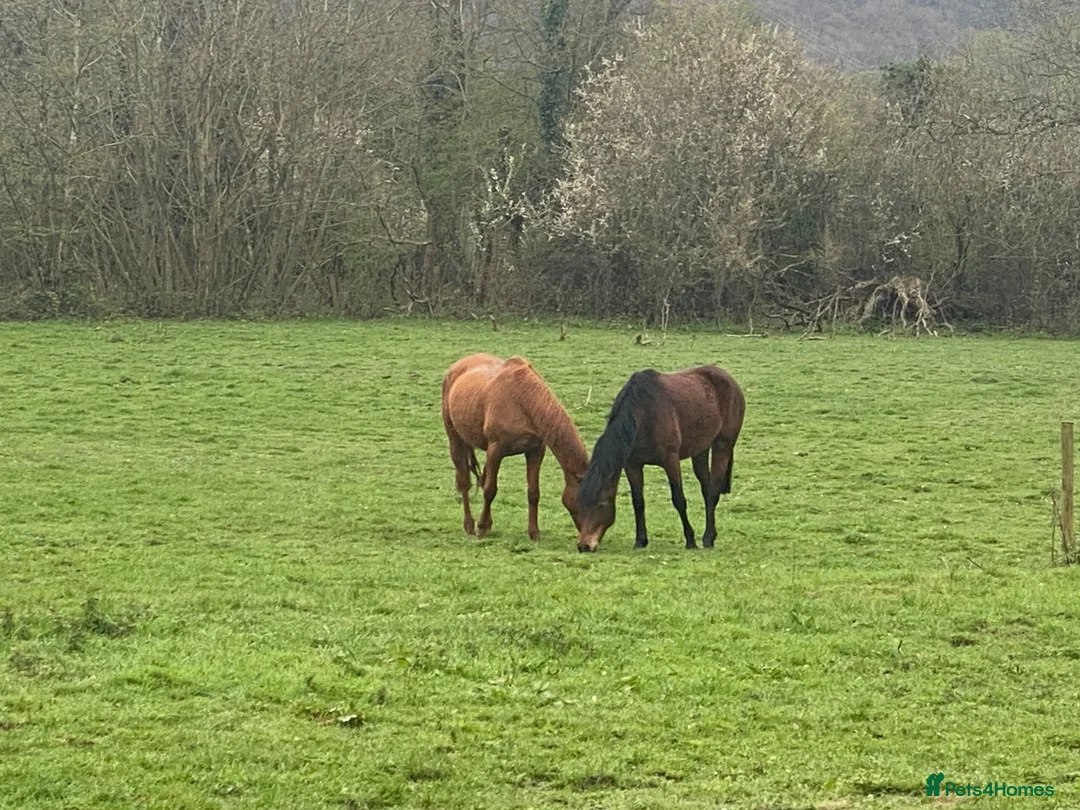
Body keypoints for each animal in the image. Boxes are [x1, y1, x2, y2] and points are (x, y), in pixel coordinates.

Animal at [441, 353, 589, 540]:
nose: (592, 539)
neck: (522, 401)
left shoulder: (535, 451)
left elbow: (533, 492)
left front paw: (534, 532)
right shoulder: (495, 451)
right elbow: (490, 490)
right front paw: (482, 527)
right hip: (455, 438)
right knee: (464, 482)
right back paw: (469, 525)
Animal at [575, 365, 745, 552]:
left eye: (602, 504)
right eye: (580, 503)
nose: (584, 545)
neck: (644, 413)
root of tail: (727, 378)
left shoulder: (670, 460)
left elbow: (679, 499)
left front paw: (690, 540)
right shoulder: (632, 465)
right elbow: (638, 502)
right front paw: (640, 540)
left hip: (722, 446)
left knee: (713, 491)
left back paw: (707, 538)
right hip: (700, 450)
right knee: (707, 490)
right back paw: (711, 535)